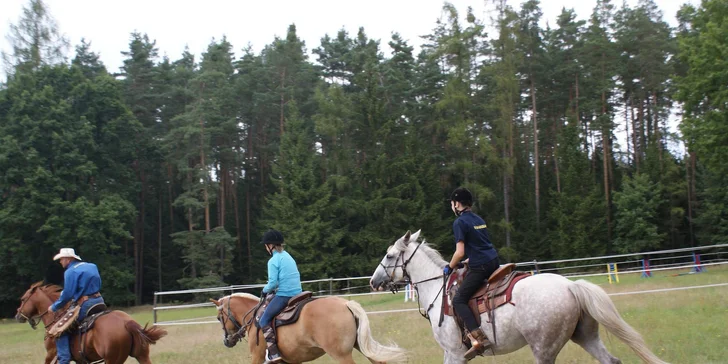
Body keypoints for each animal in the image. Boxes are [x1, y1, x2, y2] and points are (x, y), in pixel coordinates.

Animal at [16, 282, 167, 364]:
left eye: (23, 299)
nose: (18, 316)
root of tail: (127, 323)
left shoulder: (53, 354)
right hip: (142, 354)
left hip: (113, 360)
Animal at [209, 292, 410, 364]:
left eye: (219, 318)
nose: (227, 341)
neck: (254, 317)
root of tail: (346, 304)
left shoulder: (258, 357)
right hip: (360, 345)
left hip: (341, 355)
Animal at [370, 230, 672, 364]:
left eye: (390, 255)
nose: (373, 282)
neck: (438, 289)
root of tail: (570, 286)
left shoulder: (455, 352)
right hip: (586, 336)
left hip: (544, 349)